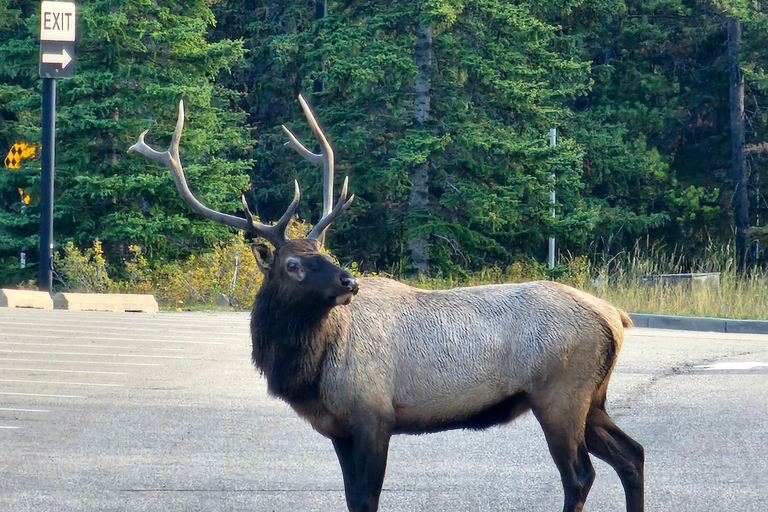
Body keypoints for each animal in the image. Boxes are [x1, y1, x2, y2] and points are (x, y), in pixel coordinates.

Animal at [130, 97, 640, 512]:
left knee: (580, 475)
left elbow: (366, 498)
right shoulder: (340, 427)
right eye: (294, 264)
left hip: (560, 393)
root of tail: (616, 317)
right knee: (631, 455)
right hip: (591, 397)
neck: (310, 370)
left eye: (324, 251)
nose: (349, 281)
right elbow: (353, 499)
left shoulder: (373, 415)